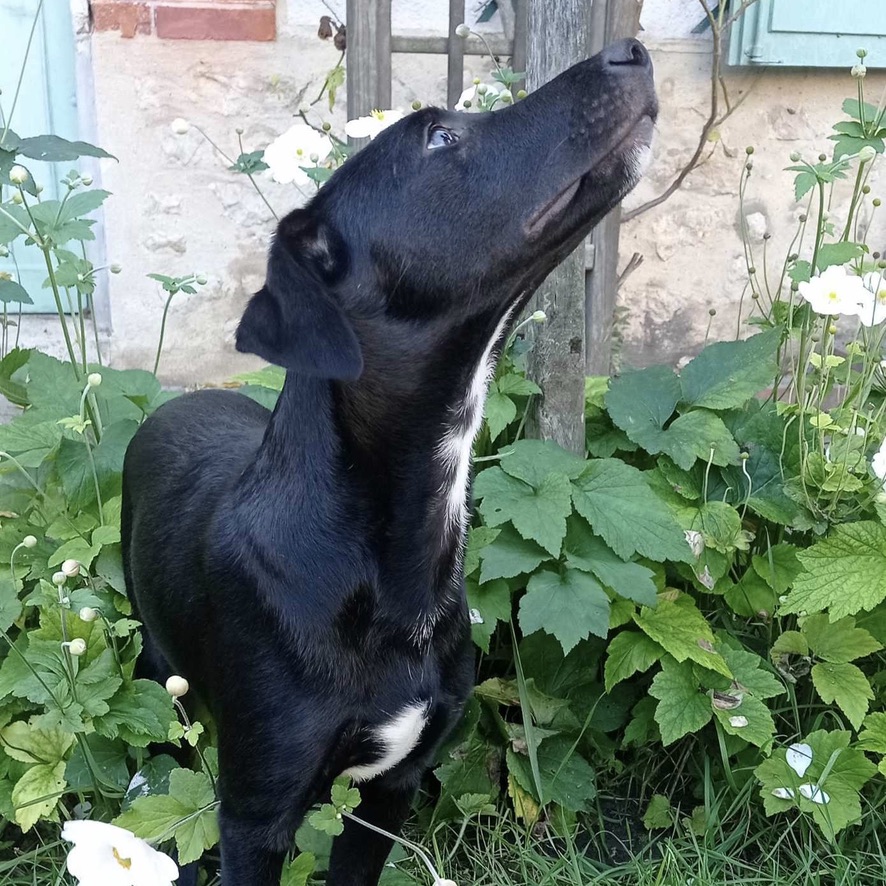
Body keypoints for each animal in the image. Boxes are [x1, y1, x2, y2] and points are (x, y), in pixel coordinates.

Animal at [121, 40, 656, 886]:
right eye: (440, 138)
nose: (630, 48)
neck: (379, 566)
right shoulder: (255, 818)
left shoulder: (395, 785)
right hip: (154, 651)